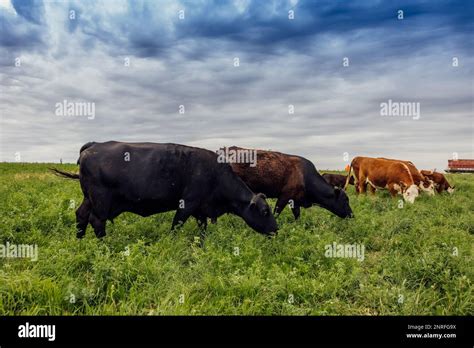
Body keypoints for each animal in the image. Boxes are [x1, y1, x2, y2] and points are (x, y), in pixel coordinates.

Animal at [52, 140, 278, 238]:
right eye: (265, 211)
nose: (276, 229)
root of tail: (94, 145)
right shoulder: (187, 204)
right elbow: (176, 226)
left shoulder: (201, 210)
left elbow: (202, 229)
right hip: (101, 201)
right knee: (96, 221)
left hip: (88, 198)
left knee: (81, 215)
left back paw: (80, 241)